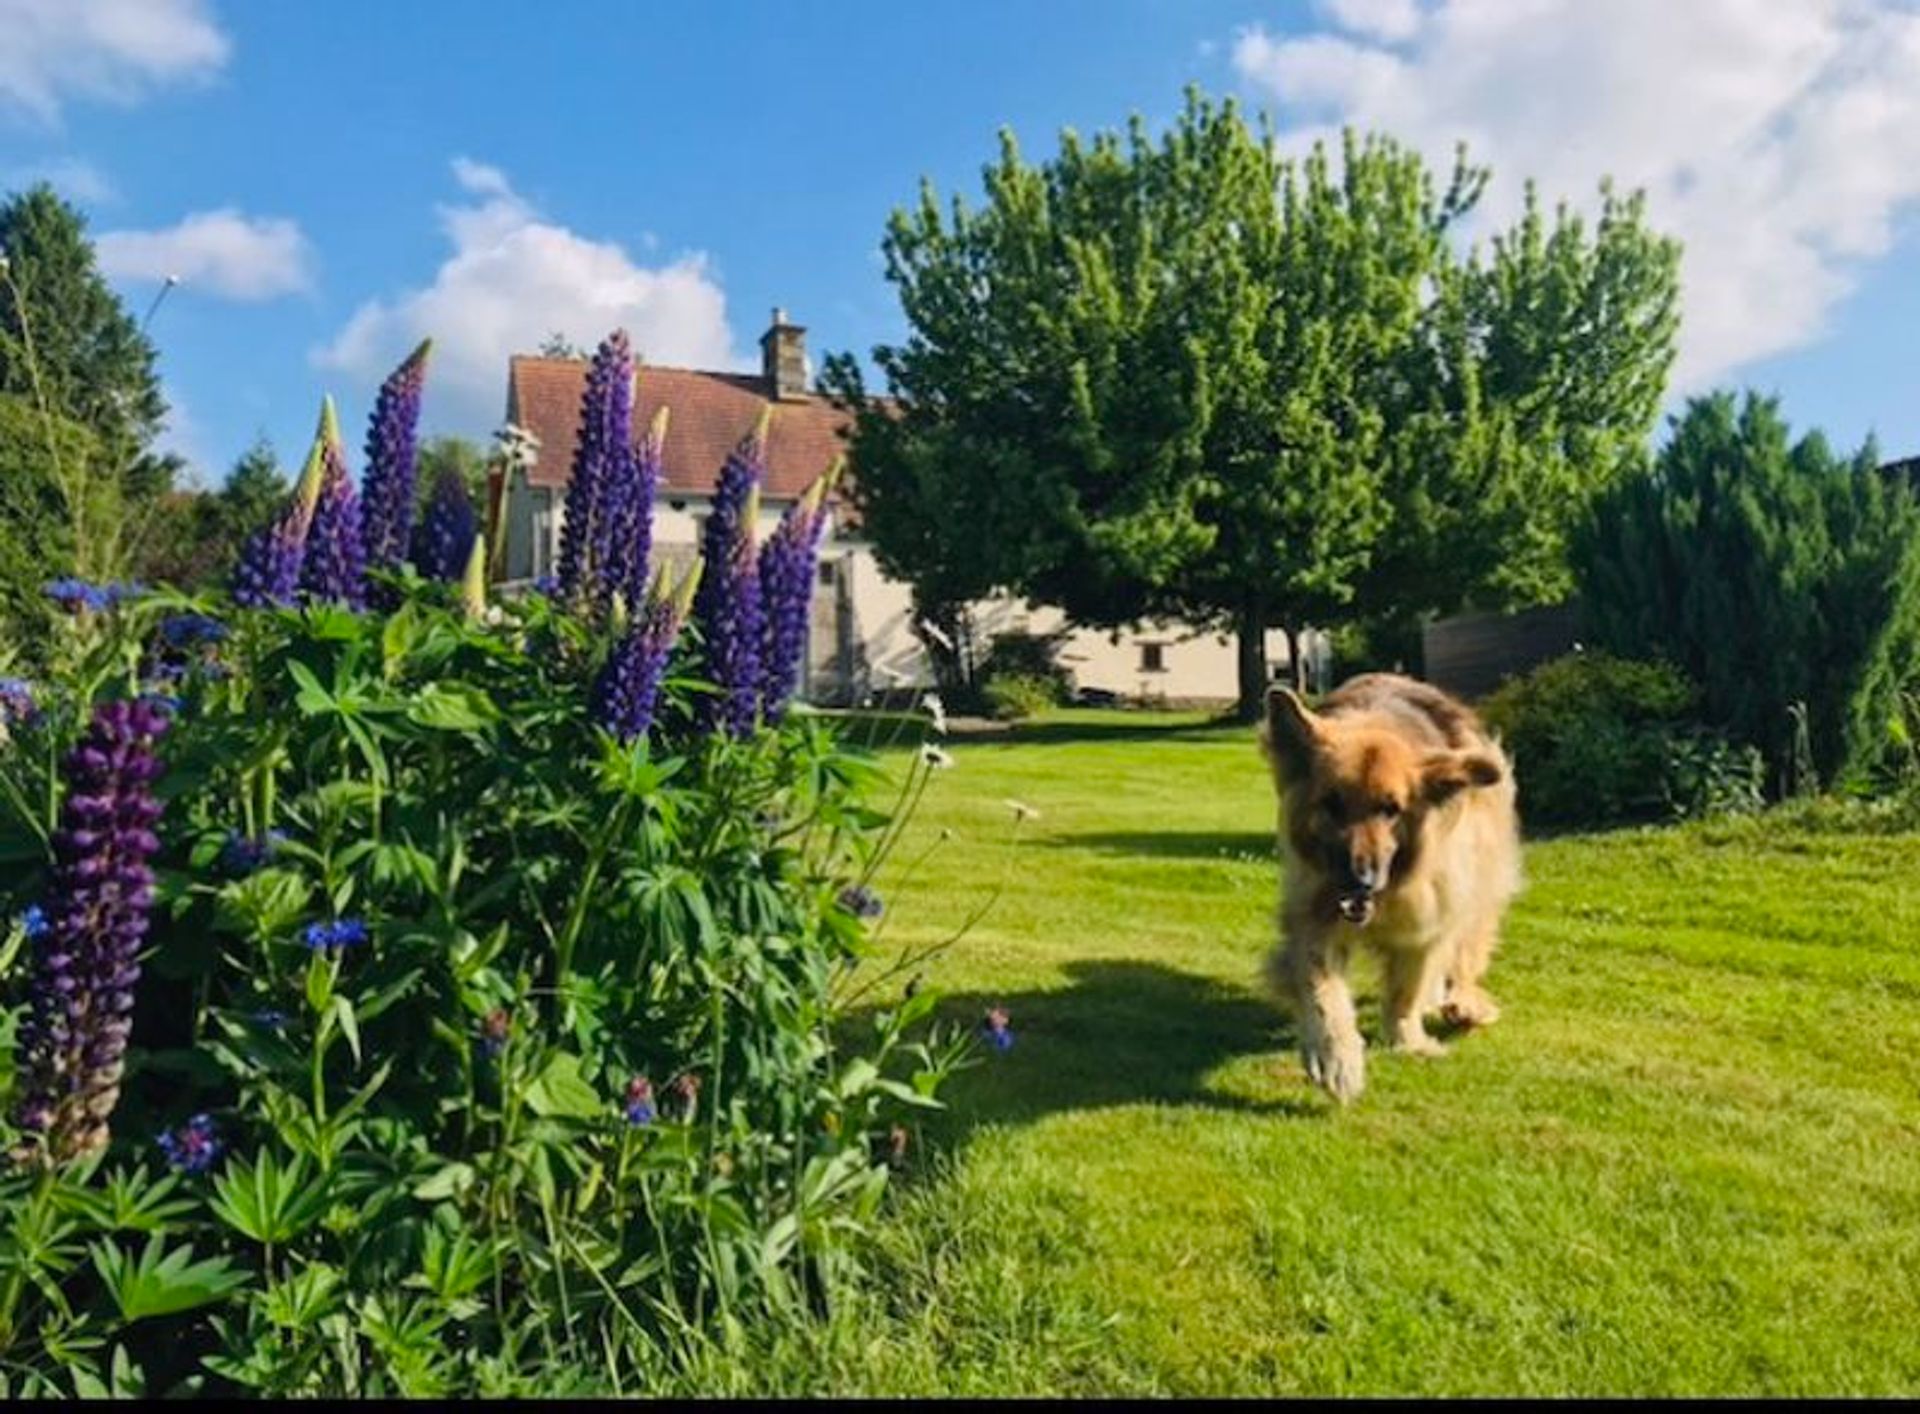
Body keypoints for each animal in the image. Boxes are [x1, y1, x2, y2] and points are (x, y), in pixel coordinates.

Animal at [1251, 672, 1520, 1106]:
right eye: (1331, 804)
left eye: (1391, 809)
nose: (1360, 879)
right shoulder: (1312, 914)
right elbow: (1321, 992)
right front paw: (1336, 1056)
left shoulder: (1429, 917)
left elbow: (1407, 988)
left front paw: (1407, 1039)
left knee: (1467, 949)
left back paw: (1464, 1003)